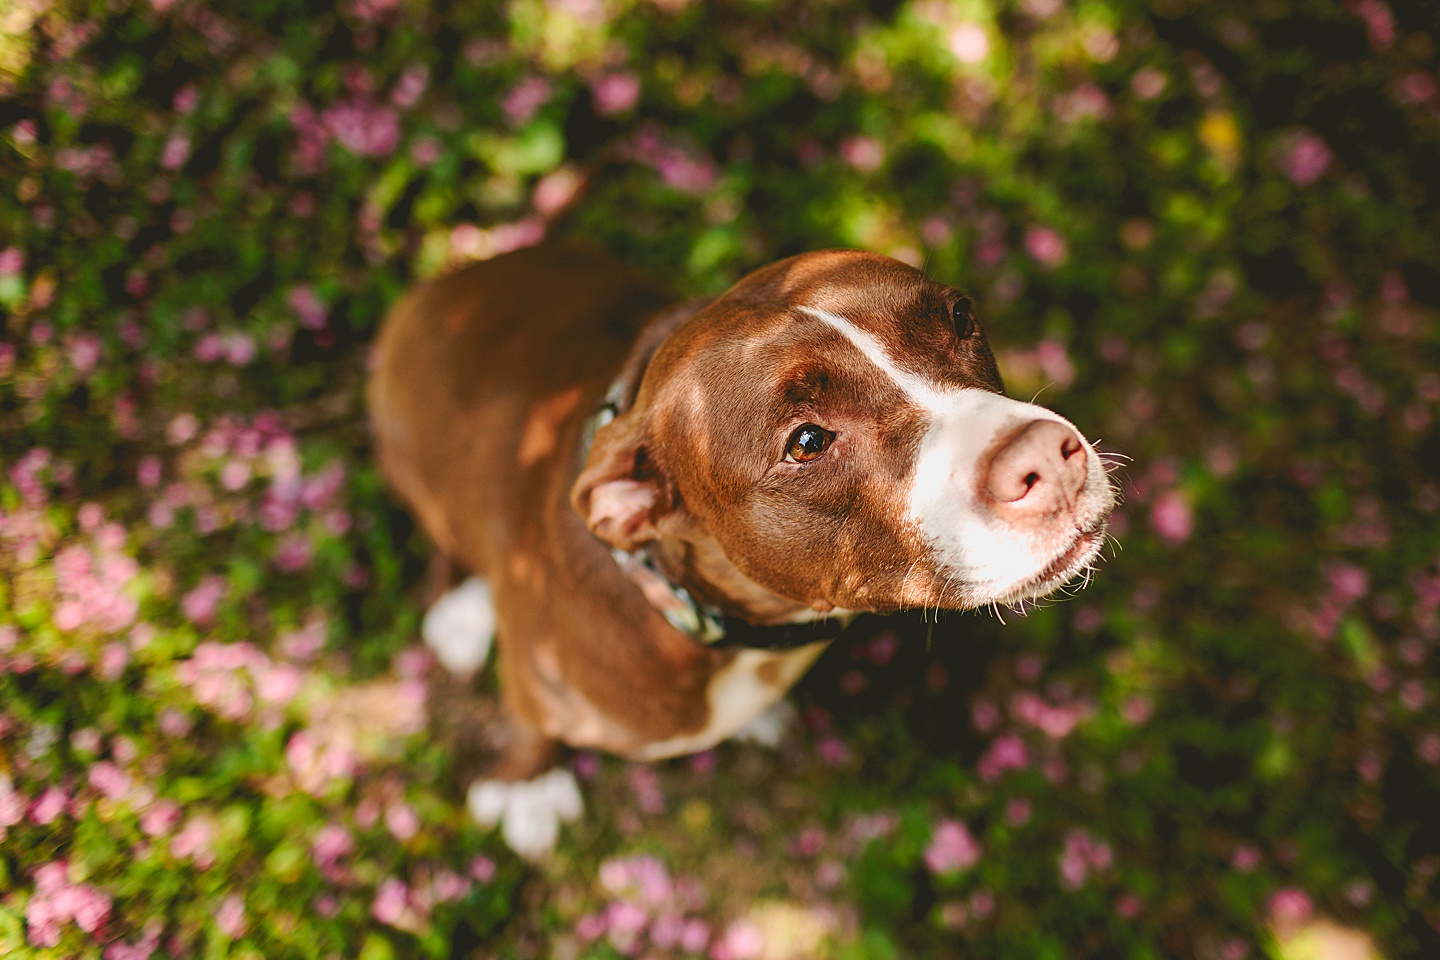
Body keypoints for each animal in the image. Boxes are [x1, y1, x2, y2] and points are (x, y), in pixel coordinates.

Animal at [368, 244, 1111, 857]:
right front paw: (526, 783)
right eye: (806, 442)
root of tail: (460, 279)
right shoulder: (537, 679)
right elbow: (529, 724)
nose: (1045, 457)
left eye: (960, 317)